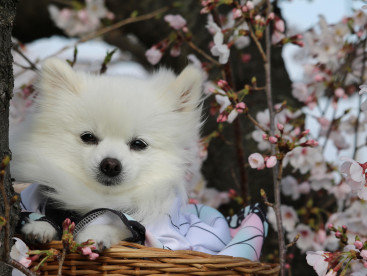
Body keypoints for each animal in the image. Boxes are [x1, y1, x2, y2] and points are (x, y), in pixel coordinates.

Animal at [10, 57, 203, 248]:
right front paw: (40, 227)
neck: (102, 198)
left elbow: (125, 226)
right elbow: (41, 216)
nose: (110, 165)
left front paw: (95, 233)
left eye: (138, 144)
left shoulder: (167, 239)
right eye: (88, 137)